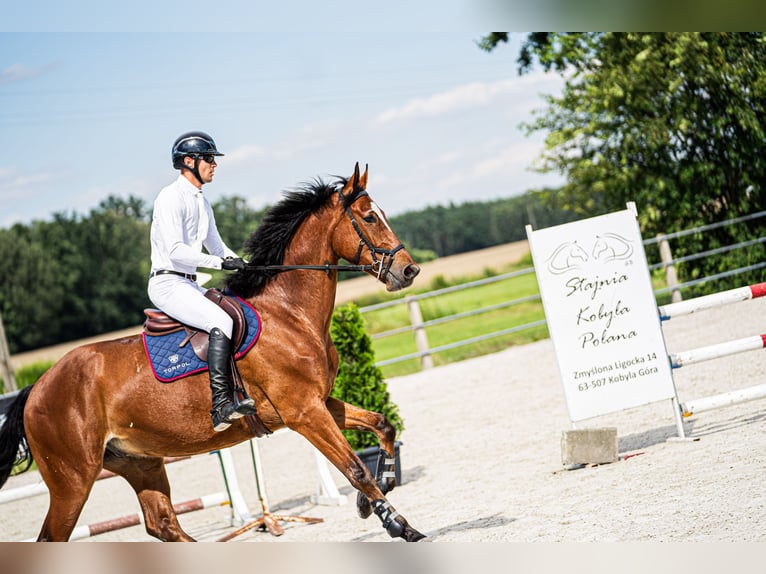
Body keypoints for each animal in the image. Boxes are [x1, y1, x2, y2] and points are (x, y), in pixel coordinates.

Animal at [0, 163, 426, 544]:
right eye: (369, 217)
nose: (409, 271)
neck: (290, 313)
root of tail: (36, 389)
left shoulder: (317, 403)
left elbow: (382, 425)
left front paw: (380, 491)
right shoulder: (304, 412)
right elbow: (355, 469)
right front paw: (397, 524)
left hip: (140, 462)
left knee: (163, 524)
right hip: (73, 481)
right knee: (54, 537)